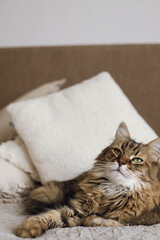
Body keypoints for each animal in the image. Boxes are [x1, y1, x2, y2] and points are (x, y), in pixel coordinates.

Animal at [15, 123, 160, 237]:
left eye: (137, 160)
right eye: (118, 152)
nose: (121, 162)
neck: (112, 189)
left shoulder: (140, 220)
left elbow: (99, 221)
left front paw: (102, 220)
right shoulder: (76, 210)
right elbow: (51, 214)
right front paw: (28, 227)